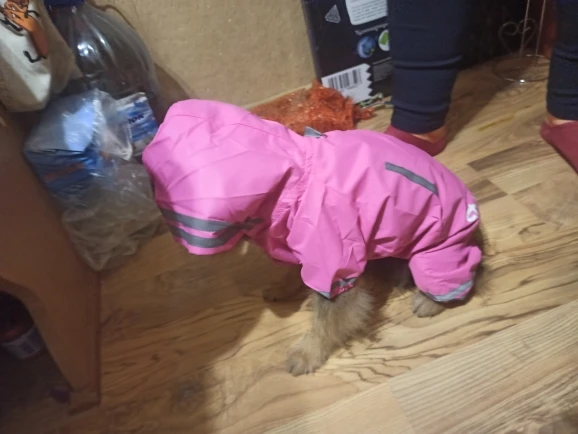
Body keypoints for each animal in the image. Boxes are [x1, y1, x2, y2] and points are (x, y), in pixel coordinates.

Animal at [142, 100, 482, 376]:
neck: (294, 181)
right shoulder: (302, 246)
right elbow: (294, 274)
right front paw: (282, 289)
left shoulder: (335, 270)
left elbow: (325, 322)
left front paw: (307, 354)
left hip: (437, 254)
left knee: (465, 273)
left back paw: (429, 300)